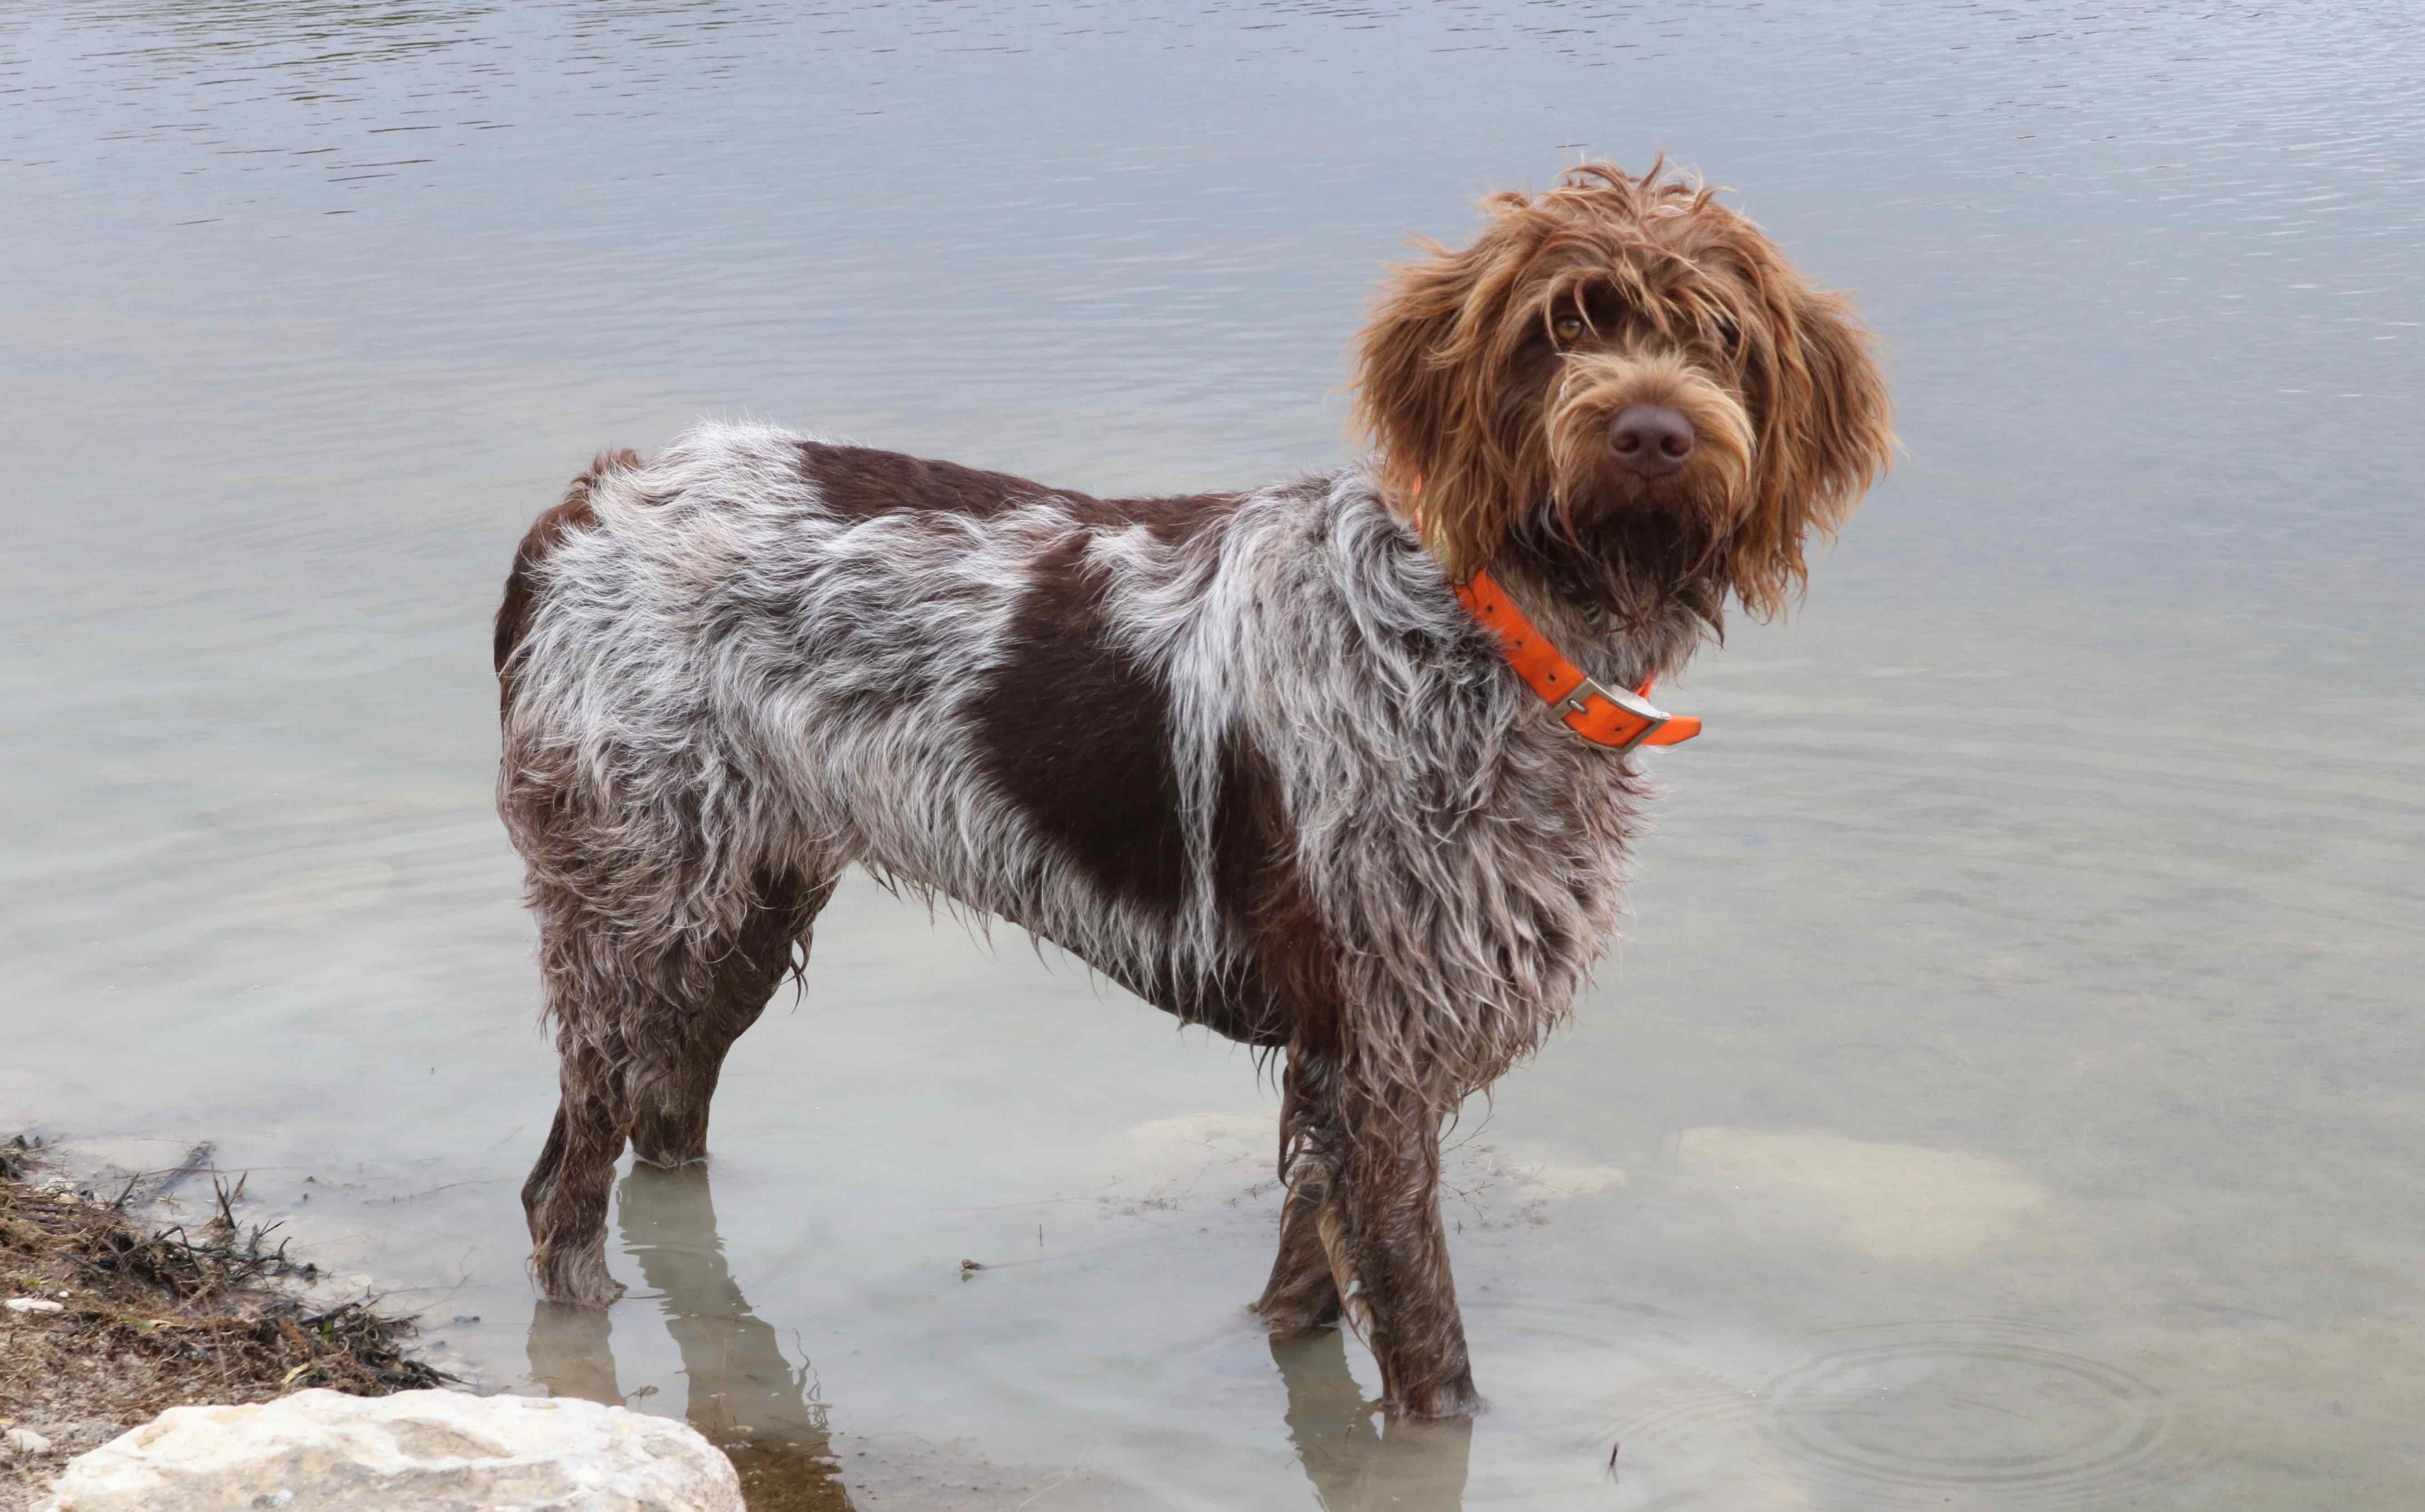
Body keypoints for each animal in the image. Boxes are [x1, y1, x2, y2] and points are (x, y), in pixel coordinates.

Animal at [492, 164, 1892, 1415]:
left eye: (1716, 336)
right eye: (1560, 327)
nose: (1652, 434)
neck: (1485, 629)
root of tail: (595, 495)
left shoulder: (1344, 1079)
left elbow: (1303, 1302)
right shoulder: (1378, 1069)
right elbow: (1431, 1361)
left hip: (741, 906)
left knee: (666, 1131)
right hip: (636, 913)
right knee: (562, 1186)